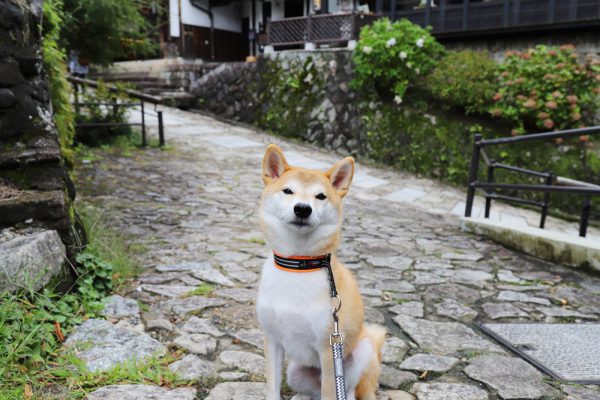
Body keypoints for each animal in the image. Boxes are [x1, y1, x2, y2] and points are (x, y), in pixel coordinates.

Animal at [255, 145, 386, 400]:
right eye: (288, 191)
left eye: (321, 196)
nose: (302, 209)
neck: (298, 265)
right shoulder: (272, 340)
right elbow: (272, 388)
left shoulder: (328, 350)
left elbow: (330, 393)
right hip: (295, 373)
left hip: (361, 353)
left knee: (349, 391)